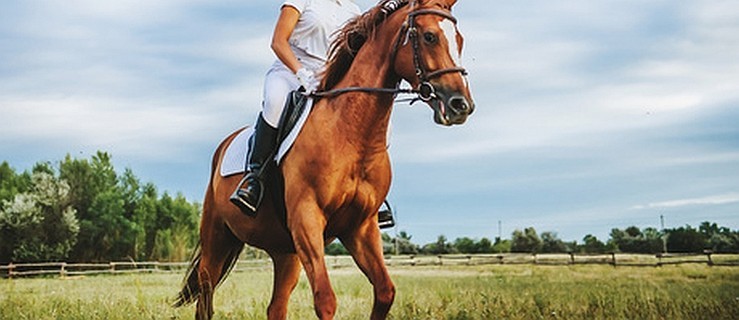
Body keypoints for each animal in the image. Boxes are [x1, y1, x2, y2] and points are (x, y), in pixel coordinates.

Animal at [173, 1, 474, 318]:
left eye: (460, 40)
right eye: (429, 37)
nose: (461, 105)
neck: (351, 134)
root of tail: (224, 144)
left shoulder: (360, 227)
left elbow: (385, 292)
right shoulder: (308, 219)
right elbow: (326, 300)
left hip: (286, 253)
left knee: (275, 307)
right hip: (217, 238)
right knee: (206, 296)